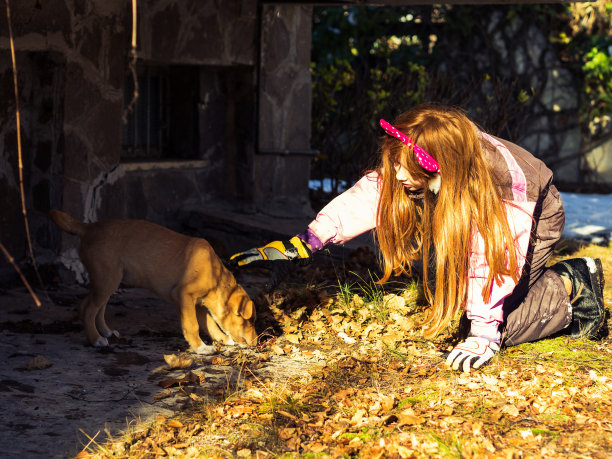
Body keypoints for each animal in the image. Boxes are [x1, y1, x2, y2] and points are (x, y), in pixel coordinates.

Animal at [49, 210, 256, 354]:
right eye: (249, 320)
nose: (257, 342)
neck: (216, 275)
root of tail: (89, 227)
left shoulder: (198, 303)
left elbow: (210, 324)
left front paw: (223, 339)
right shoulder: (184, 296)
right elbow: (193, 325)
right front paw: (200, 347)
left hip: (108, 280)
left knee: (93, 306)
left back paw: (105, 332)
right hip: (107, 279)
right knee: (90, 308)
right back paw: (95, 339)